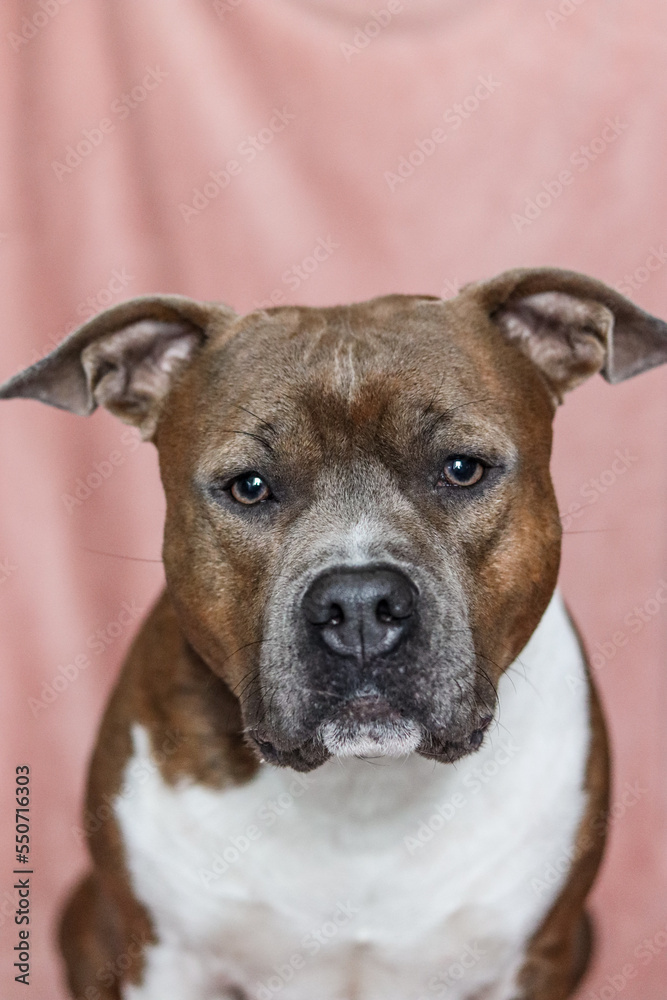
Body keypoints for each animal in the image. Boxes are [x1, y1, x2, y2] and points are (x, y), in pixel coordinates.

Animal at [1, 268, 667, 1000]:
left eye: (462, 468)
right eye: (249, 486)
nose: (359, 605)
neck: (361, 794)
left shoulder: (536, 957)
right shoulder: (158, 956)